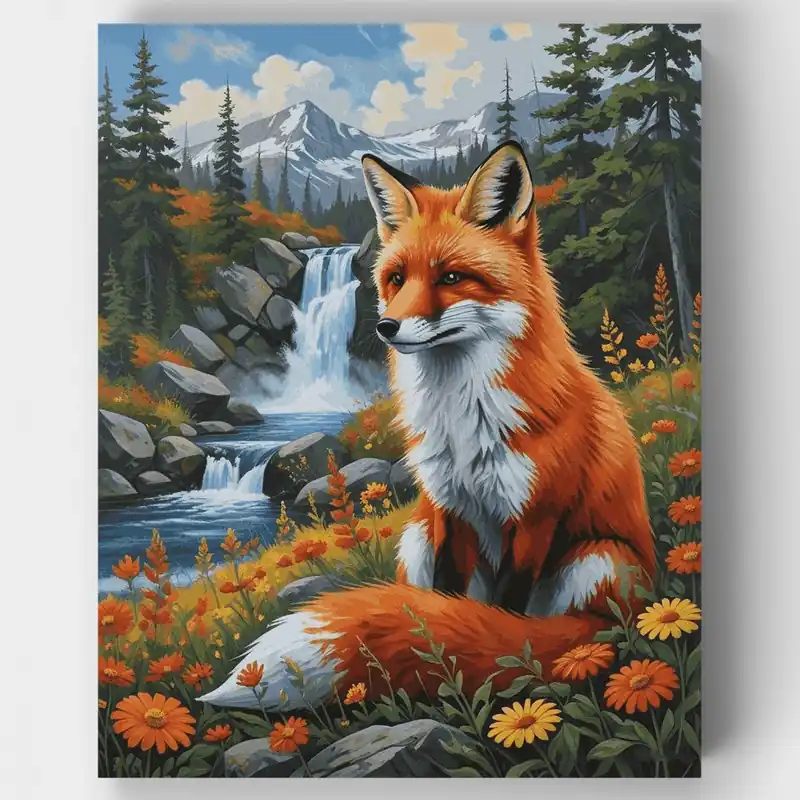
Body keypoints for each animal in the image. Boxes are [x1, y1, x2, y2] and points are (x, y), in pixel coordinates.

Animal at [200, 141, 654, 710]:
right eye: (397, 278)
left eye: (451, 278)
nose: (383, 326)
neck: (463, 424)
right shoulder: (448, 508)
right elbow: (443, 605)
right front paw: (443, 657)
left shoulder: (534, 517)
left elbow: (499, 616)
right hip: (416, 535)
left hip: (597, 558)